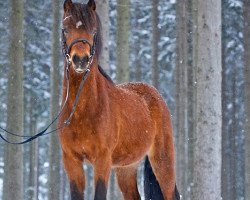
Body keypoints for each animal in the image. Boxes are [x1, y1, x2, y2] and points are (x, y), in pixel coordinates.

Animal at [58, 0, 180, 199]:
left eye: (93, 30)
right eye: (65, 29)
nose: (80, 60)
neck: (82, 111)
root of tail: (155, 95)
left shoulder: (103, 160)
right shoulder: (72, 161)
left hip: (163, 162)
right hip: (126, 168)